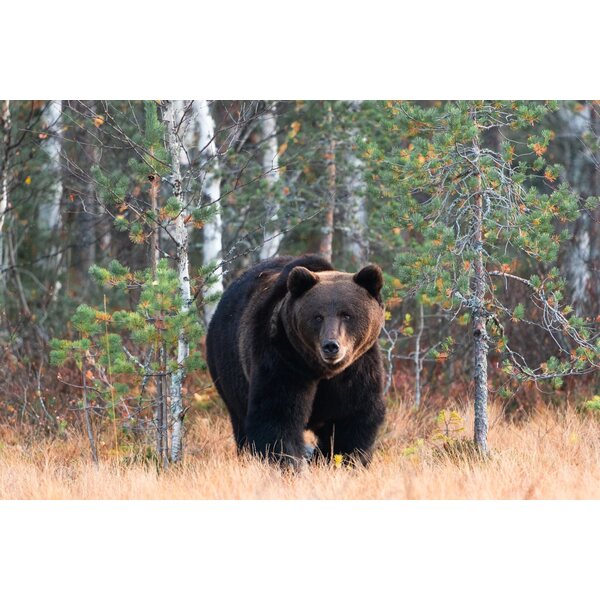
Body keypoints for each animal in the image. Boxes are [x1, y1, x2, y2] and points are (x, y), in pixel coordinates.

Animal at [205, 252, 384, 464]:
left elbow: (352, 417)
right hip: (228, 368)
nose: (331, 346)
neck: (321, 370)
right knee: (240, 421)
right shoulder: (283, 358)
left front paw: (344, 460)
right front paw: (288, 462)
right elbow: (278, 415)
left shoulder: (356, 368)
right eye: (318, 316)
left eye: (347, 314)